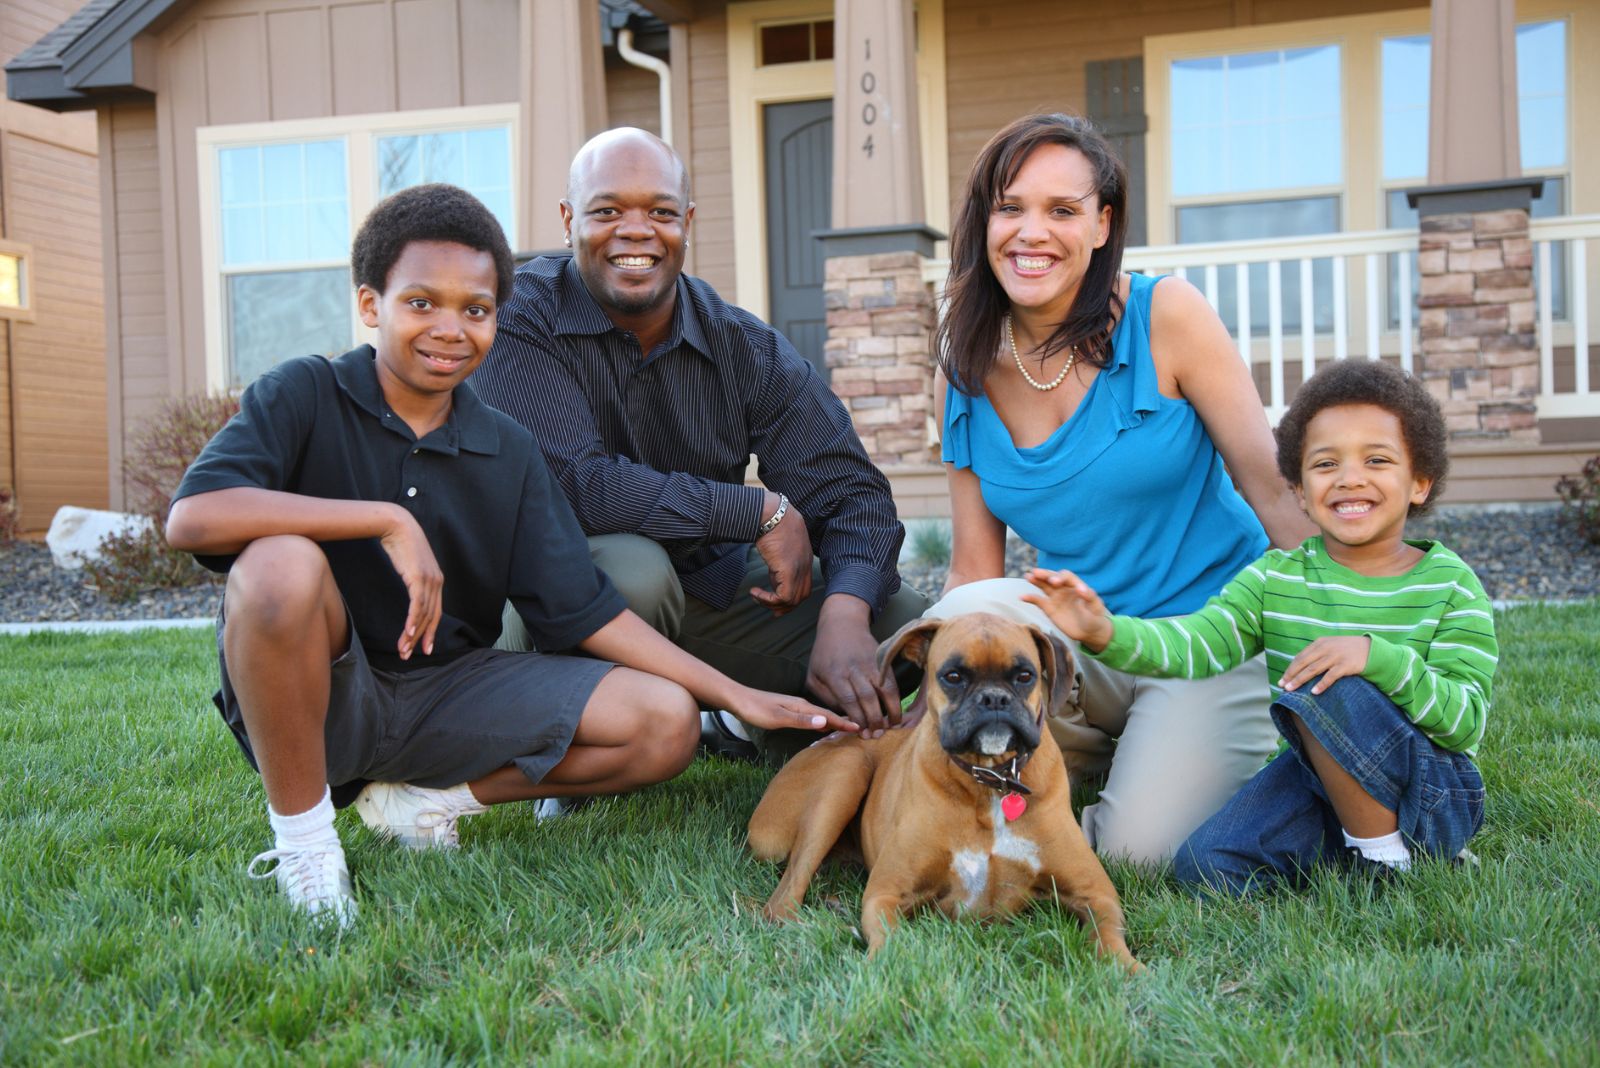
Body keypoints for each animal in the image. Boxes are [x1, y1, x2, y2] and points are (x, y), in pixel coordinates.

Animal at [748, 607, 1139, 965]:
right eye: (952, 676)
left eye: (1025, 675)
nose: (994, 698)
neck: (990, 781)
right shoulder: (885, 893)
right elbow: (890, 942)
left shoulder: (1097, 893)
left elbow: (1110, 939)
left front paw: (1132, 972)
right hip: (846, 772)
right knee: (783, 898)